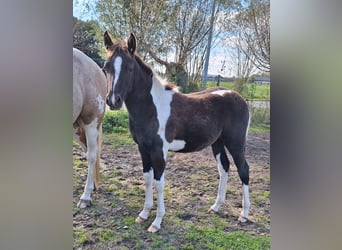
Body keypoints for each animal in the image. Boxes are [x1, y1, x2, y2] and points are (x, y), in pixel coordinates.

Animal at [103, 32, 250, 233]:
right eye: (105, 67)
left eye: (129, 68)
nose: (113, 100)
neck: (152, 107)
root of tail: (240, 98)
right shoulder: (143, 149)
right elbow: (147, 179)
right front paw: (143, 214)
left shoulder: (159, 151)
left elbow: (159, 183)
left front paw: (156, 222)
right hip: (218, 143)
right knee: (224, 168)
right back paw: (216, 206)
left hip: (236, 143)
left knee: (243, 169)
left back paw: (244, 214)